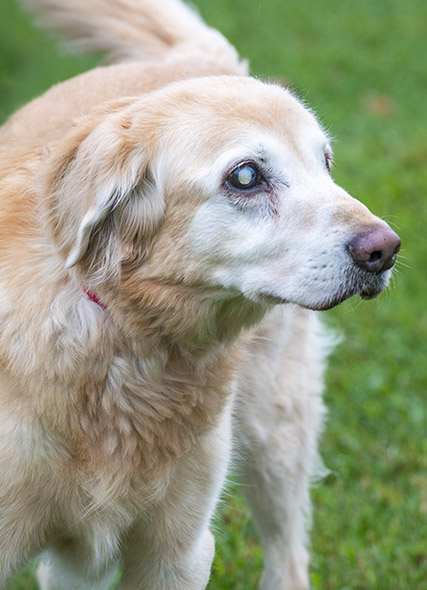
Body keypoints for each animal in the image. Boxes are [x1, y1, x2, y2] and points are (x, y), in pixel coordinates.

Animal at [0, 1, 402, 590]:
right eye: (246, 176)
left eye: (325, 163)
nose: (385, 250)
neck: (123, 342)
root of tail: (190, 59)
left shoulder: (179, 551)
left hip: (276, 431)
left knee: (288, 555)